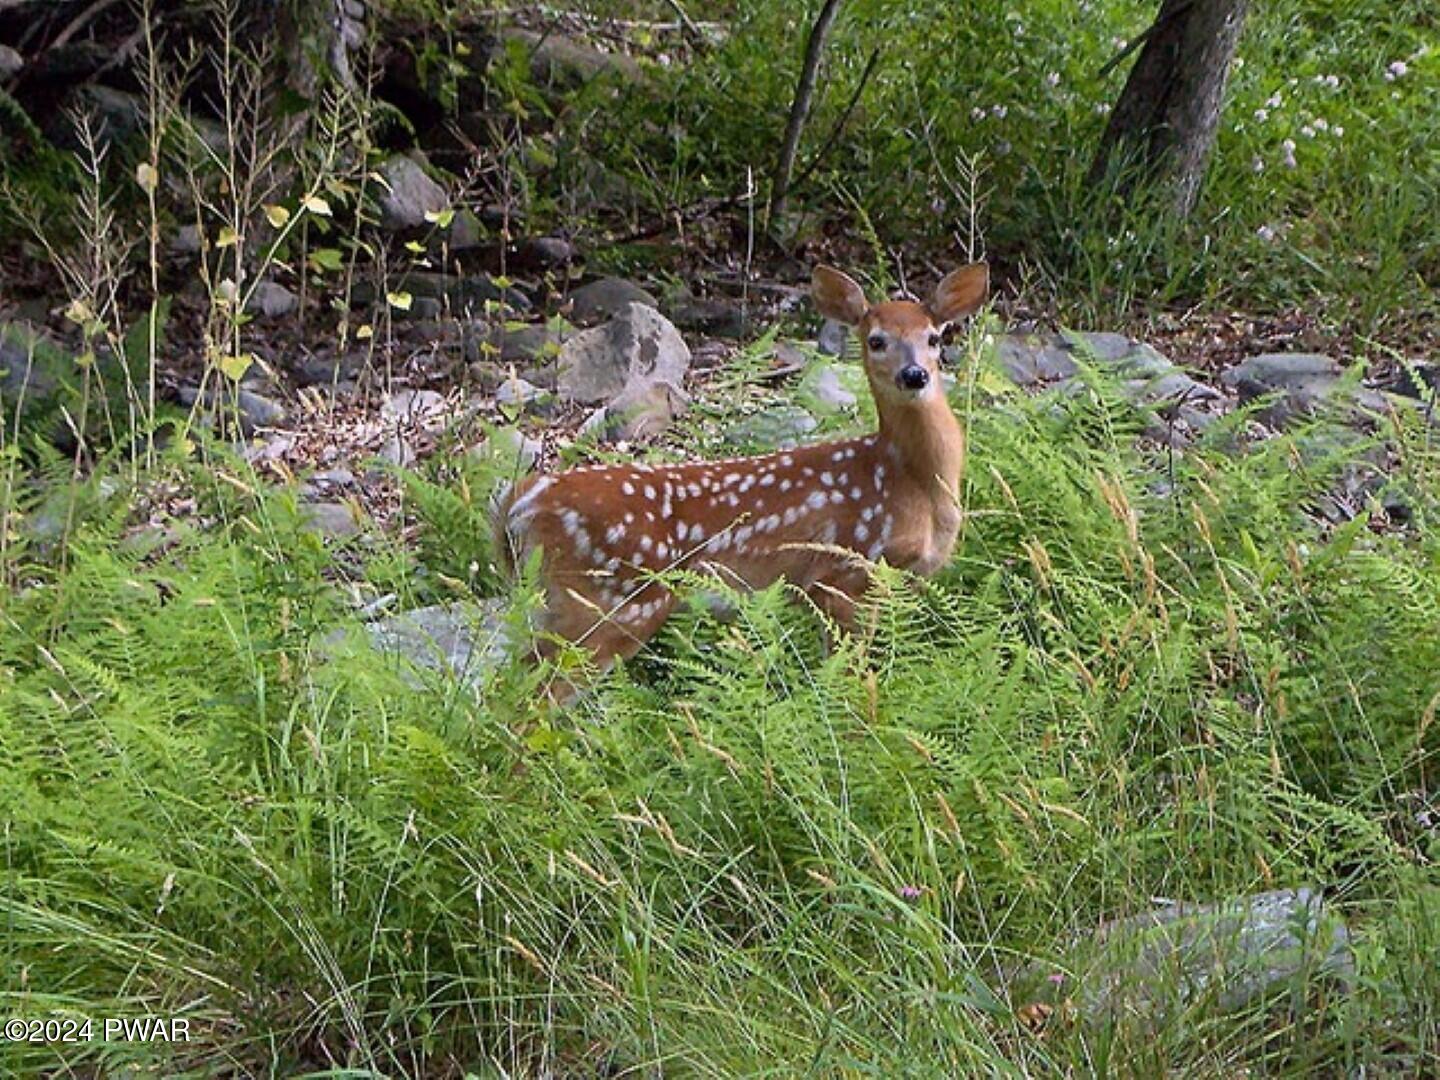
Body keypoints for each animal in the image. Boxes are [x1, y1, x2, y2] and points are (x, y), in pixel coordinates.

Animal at [498, 264, 990, 696]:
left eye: (934, 337)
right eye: (876, 340)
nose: (915, 374)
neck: (912, 480)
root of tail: (522, 502)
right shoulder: (845, 575)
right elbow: (852, 680)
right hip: (611, 599)